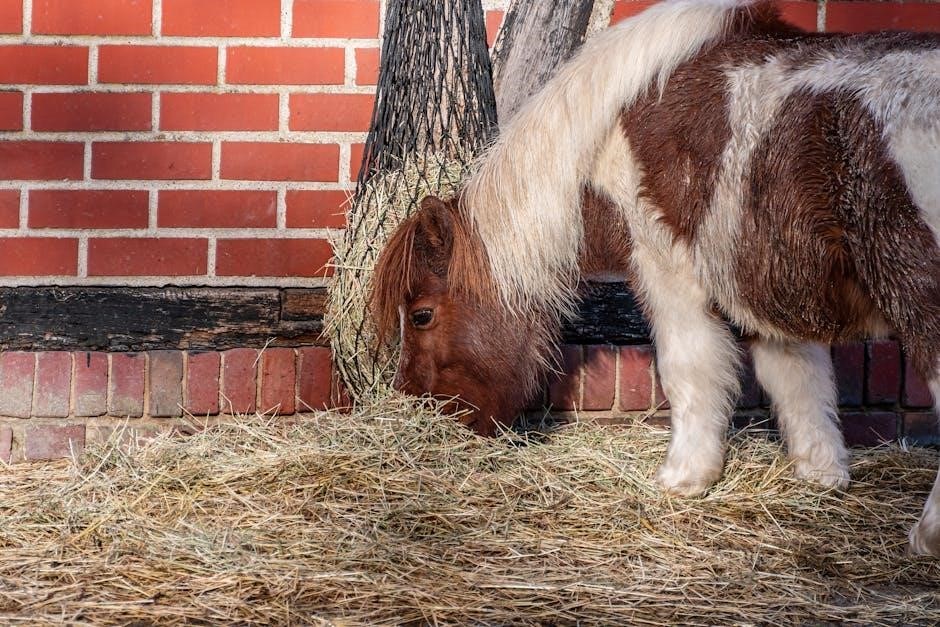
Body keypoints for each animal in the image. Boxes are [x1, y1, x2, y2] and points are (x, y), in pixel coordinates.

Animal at [370, 0, 940, 556]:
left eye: (421, 315)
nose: (419, 413)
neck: (612, 130)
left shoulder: (667, 269)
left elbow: (691, 370)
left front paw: (684, 478)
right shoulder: (763, 279)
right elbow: (799, 381)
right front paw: (820, 475)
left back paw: (926, 537)